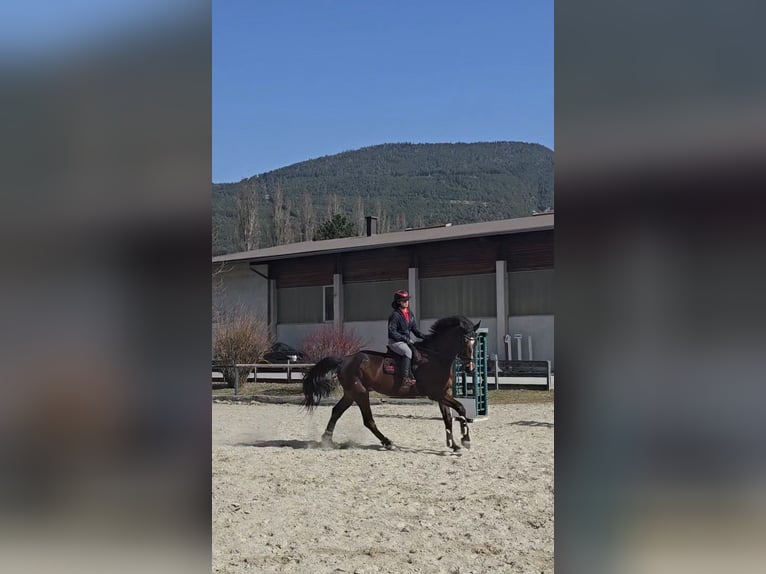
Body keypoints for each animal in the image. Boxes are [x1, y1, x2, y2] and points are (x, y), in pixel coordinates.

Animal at [301, 315, 481, 452]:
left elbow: (449, 418)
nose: (470, 368)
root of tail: (344, 359)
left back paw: (327, 440)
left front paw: (454, 445)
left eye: (476, 342)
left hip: (351, 393)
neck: (434, 357)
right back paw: (388, 442)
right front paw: (465, 440)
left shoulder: (443, 394)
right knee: (368, 420)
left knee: (336, 411)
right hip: (360, 393)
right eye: (464, 341)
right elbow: (461, 408)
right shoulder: (437, 394)